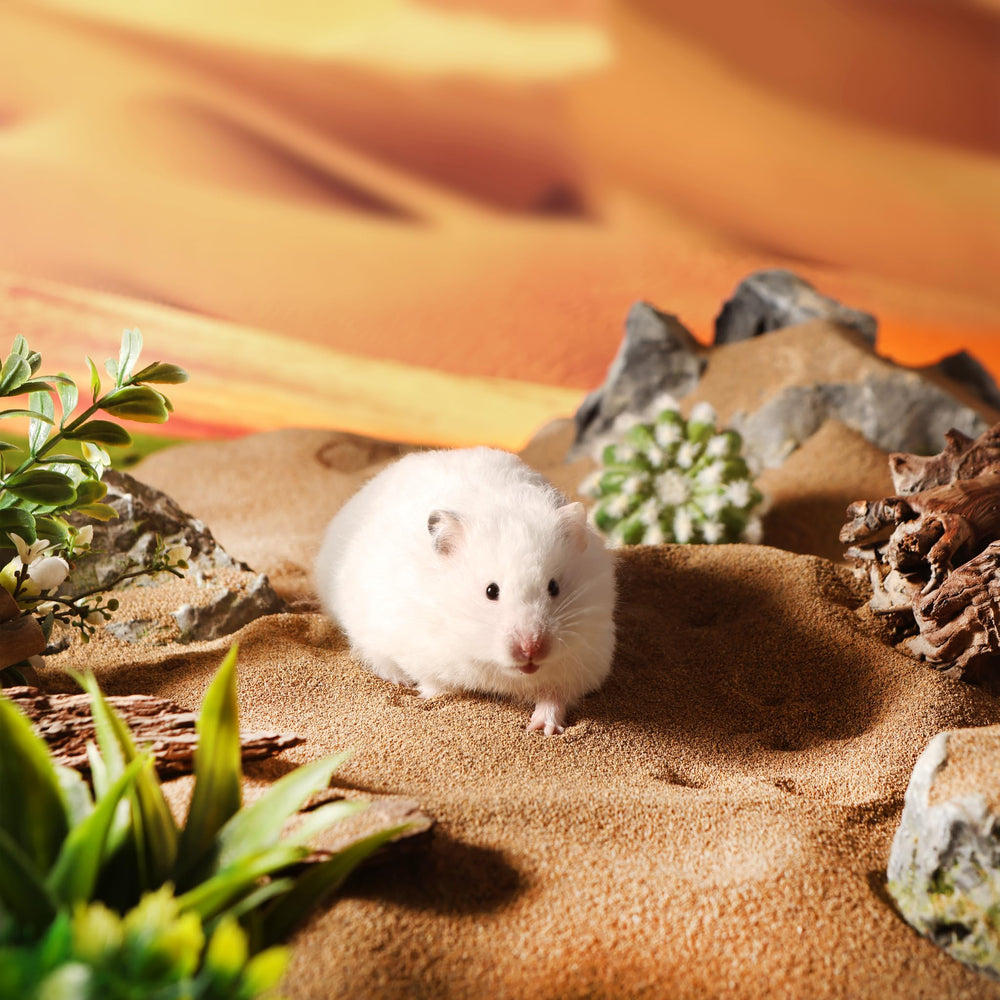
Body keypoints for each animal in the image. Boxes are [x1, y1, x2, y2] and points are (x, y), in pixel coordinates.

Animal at [314, 447, 616, 735]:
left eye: (554, 587)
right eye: (491, 591)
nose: (531, 649)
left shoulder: (580, 663)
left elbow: (554, 699)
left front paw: (542, 728)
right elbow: (436, 686)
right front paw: (423, 695)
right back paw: (401, 680)